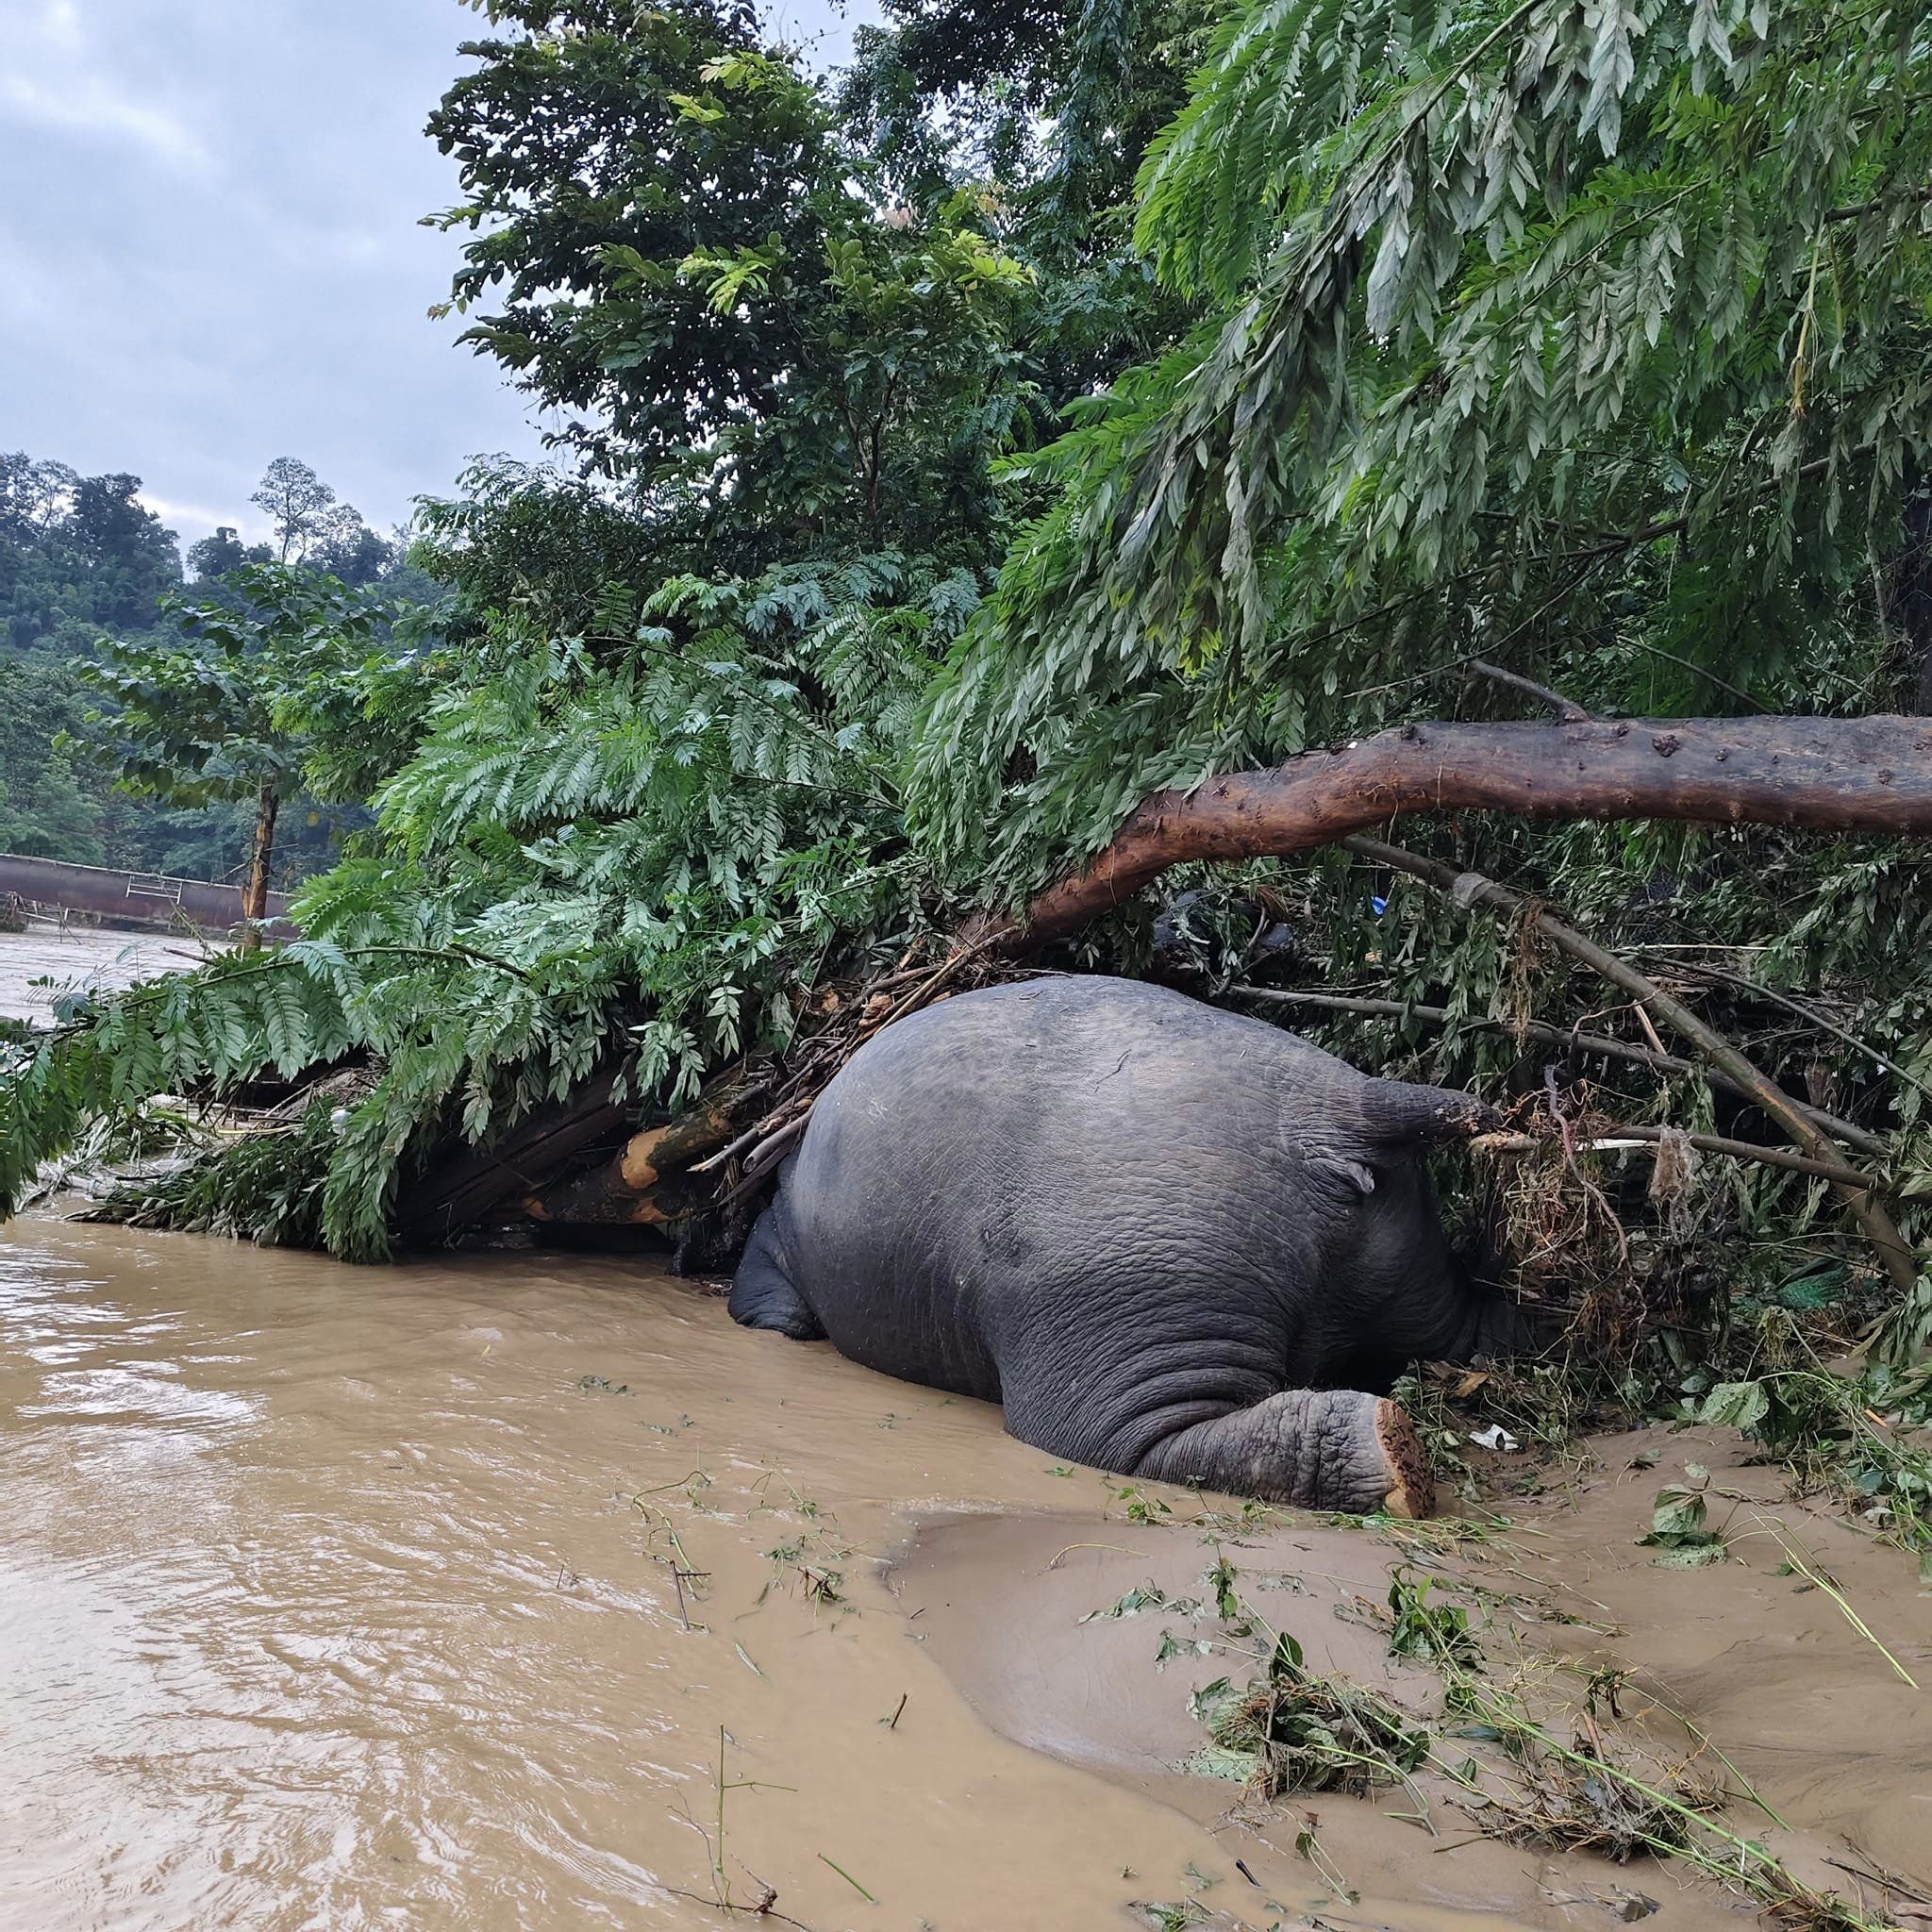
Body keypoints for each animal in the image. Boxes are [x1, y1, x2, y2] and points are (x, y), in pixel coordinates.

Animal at [730, 974, 1514, 1514]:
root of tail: (1338, 1106)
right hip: (1406, 1270)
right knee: (1459, 1332)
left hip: (1124, 1307)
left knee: (1141, 1442)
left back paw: (1393, 1456)